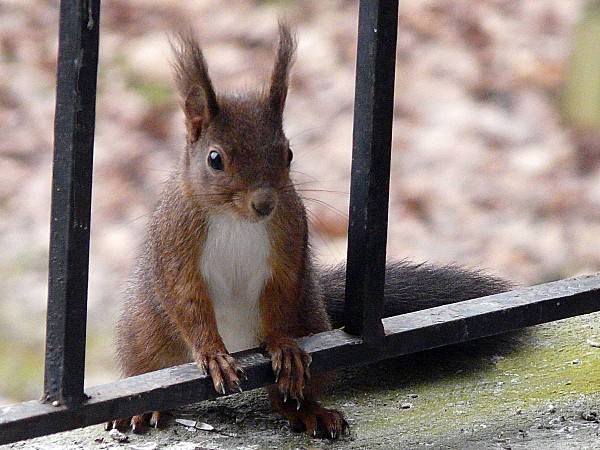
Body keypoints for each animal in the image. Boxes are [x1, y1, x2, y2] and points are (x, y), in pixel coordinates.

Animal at [109, 22, 510, 440]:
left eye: (288, 154)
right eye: (214, 159)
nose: (264, 203)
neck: (237, 221)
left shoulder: (287, 240)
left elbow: (280, 293)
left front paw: (283, 346)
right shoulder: (176, 243)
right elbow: (187, 299)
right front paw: (213, 354)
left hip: (310, 317)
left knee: (284, 397)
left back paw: (309, 411)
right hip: (146, 335)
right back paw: (145, 410)